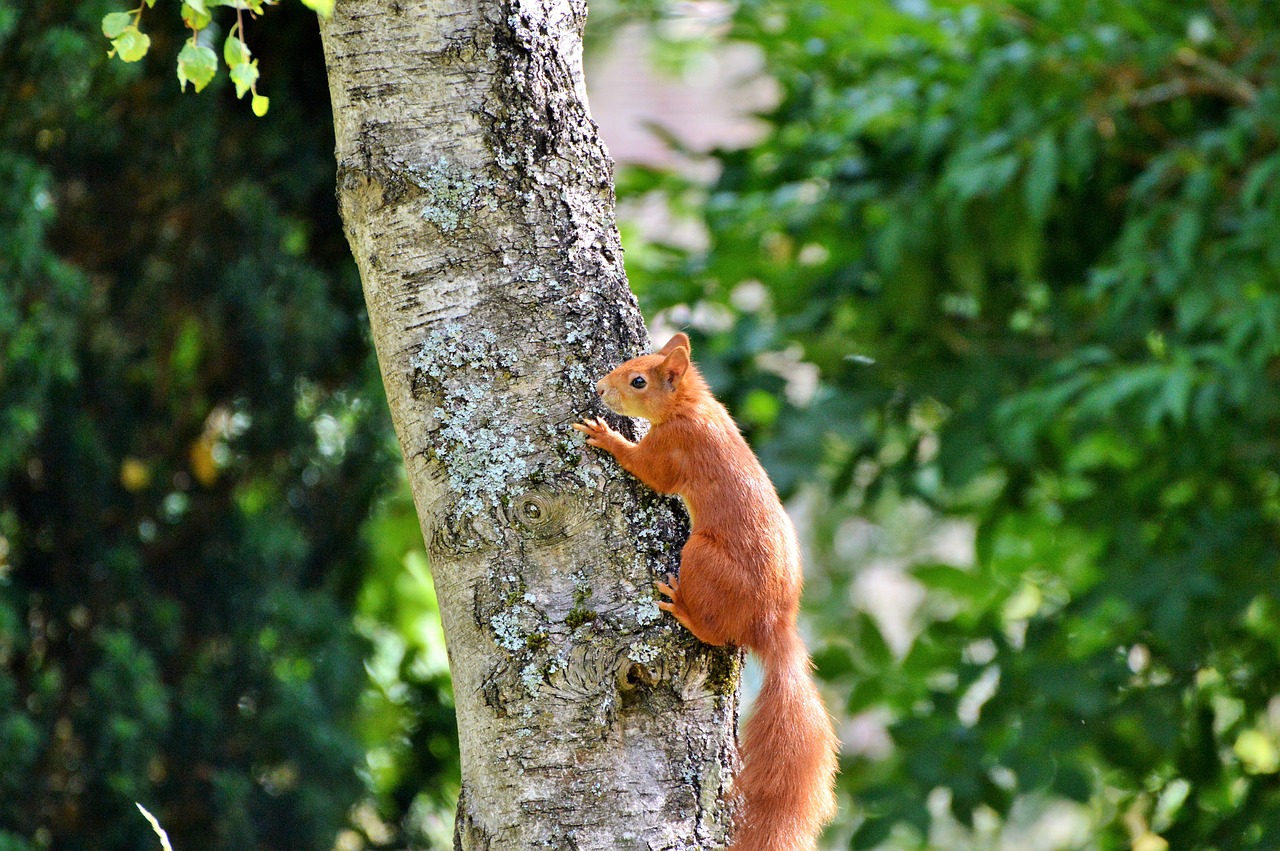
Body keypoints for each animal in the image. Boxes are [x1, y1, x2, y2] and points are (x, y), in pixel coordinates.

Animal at [573, 330, 839, 849]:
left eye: (638, 380)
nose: (599, 387)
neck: (690, 406)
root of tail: (771, 622)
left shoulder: (673, 448)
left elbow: (648, 470)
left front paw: (605, 435)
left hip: (701, 557)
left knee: (715, 634)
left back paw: (681, 606)